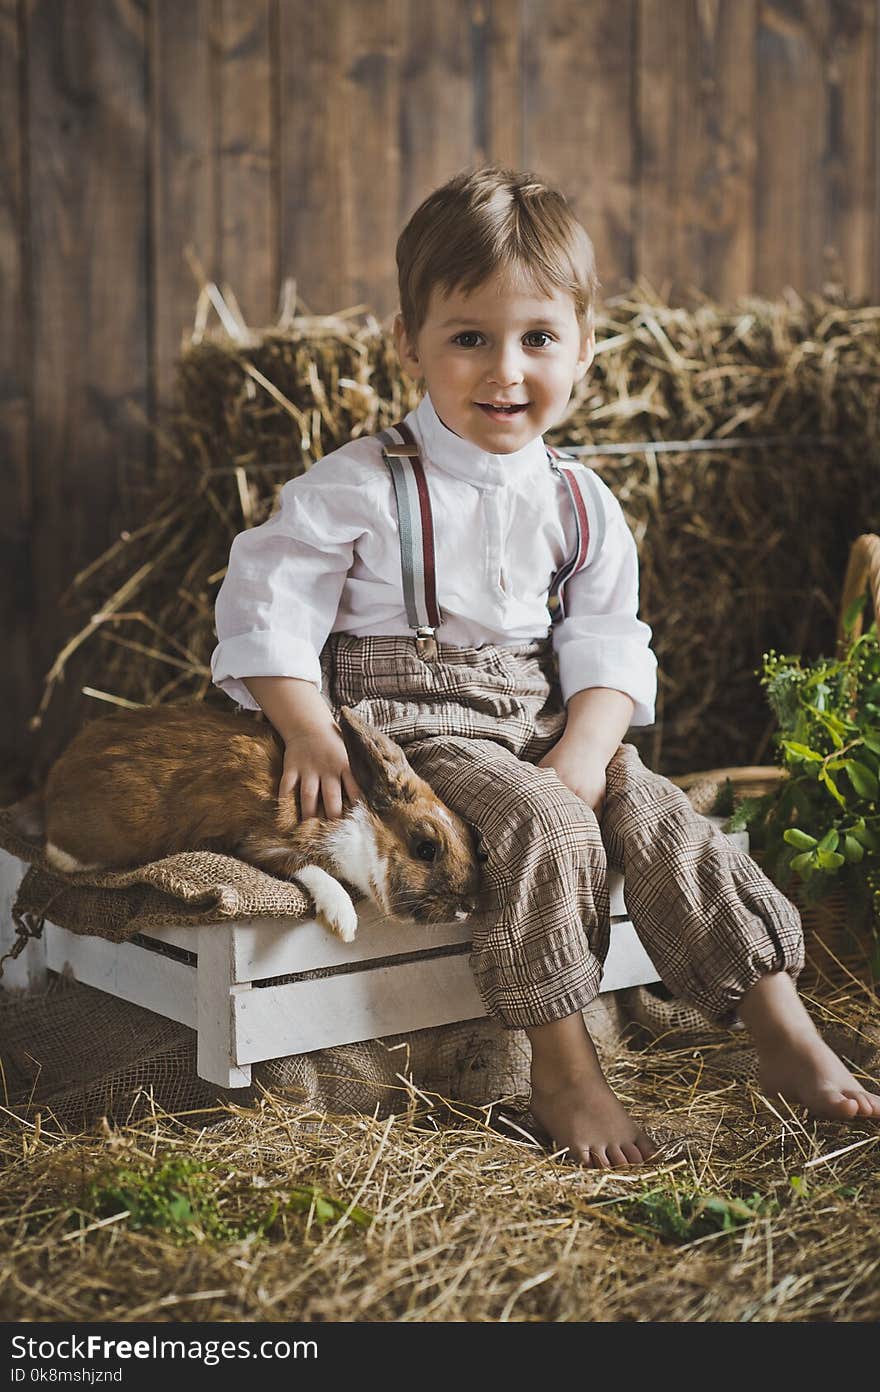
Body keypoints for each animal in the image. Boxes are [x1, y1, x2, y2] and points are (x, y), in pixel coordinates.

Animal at [34, 701, 484, 940]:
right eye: (425, 848)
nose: (469, 907)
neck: (358, 822)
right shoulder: (264, 842)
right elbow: (312, 869)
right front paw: (343, 920)